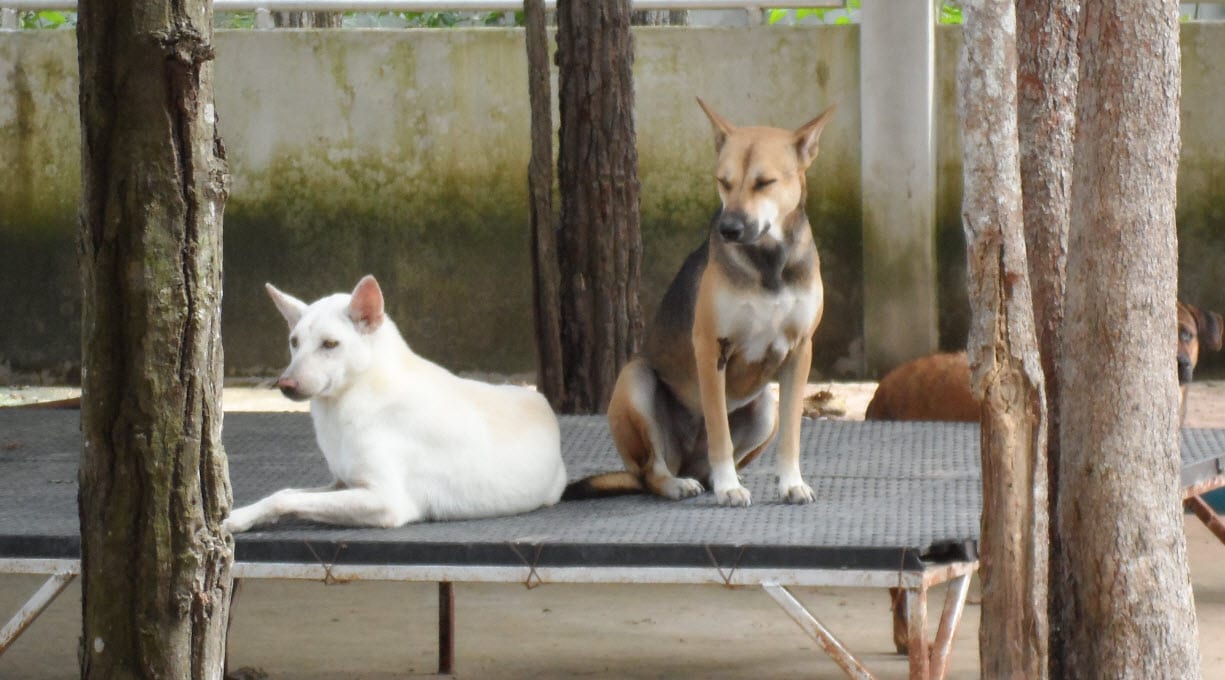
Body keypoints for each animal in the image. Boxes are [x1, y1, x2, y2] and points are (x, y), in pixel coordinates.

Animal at [224, 275, 567, 532]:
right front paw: (241, 516)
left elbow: (285, 500)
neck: (354, 398)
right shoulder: (341, 484)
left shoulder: (386, 501)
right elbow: (284, 493)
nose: (285, 385)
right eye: (294, 343)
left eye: (330, 344)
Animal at [564, 99, 836, 507]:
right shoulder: (711, 348)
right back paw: (682, 484)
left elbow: (791, 434)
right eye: (723, 182)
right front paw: (728, 488)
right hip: (635, 381)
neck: (767, 263)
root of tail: (686, 463)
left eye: (764, 183)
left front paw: (790, 483)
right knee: (653, 471)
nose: (729, 229)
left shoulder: (800, 351)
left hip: (765, 409)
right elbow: (718, 429)